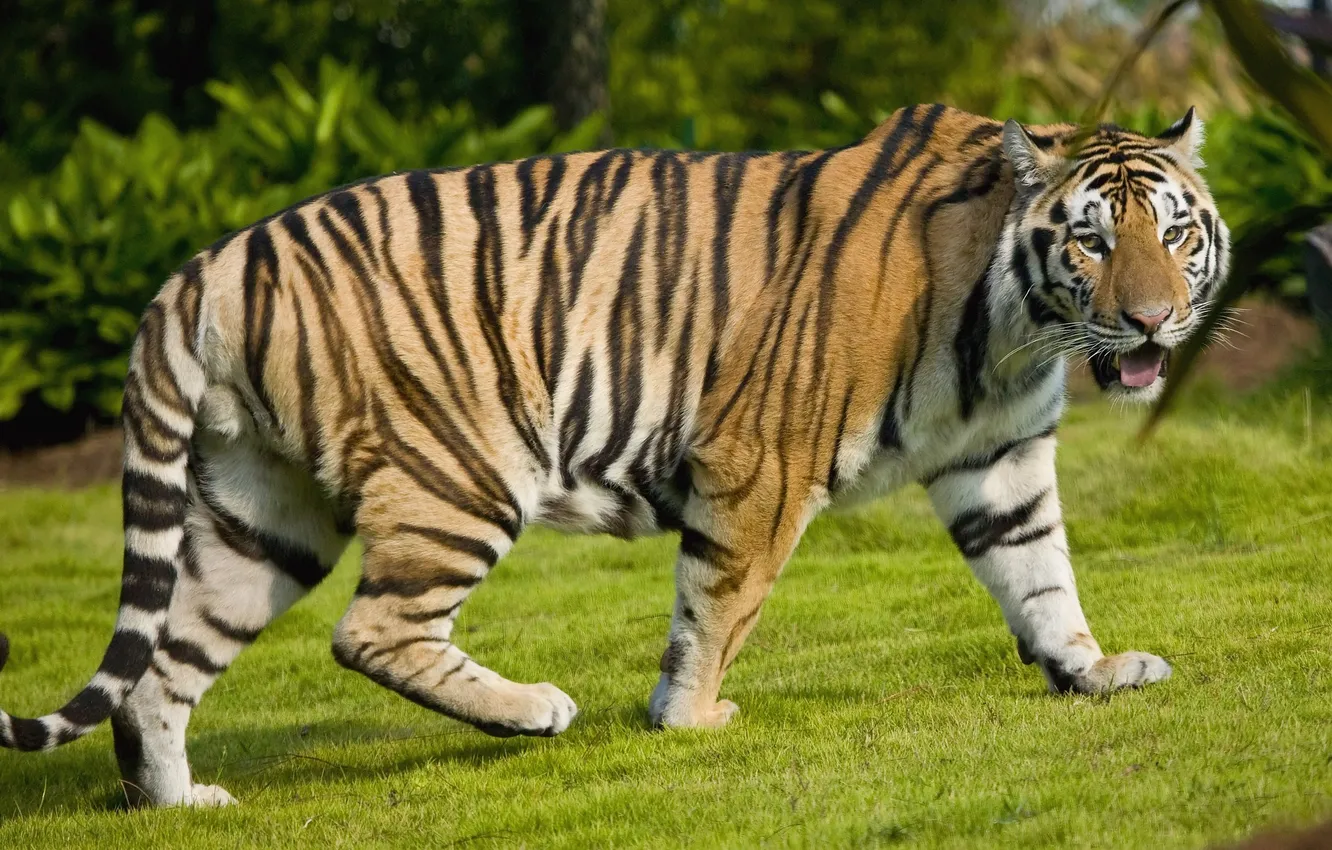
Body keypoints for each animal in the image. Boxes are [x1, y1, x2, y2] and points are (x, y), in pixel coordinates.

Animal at [0, 103, 1228, 807]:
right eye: (1090, 240)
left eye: (1173, 232)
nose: (1156, 322)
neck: (1015, 329)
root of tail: (202, 264)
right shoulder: (761, 458)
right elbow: (719, 603)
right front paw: (688, 718)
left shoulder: (1001, 459)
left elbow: (1042, 574)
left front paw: (1091, 670)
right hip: (461, 471)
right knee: (370, 630)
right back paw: (533, 709)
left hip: (266, 511)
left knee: (162, 668)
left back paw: (179, 801)